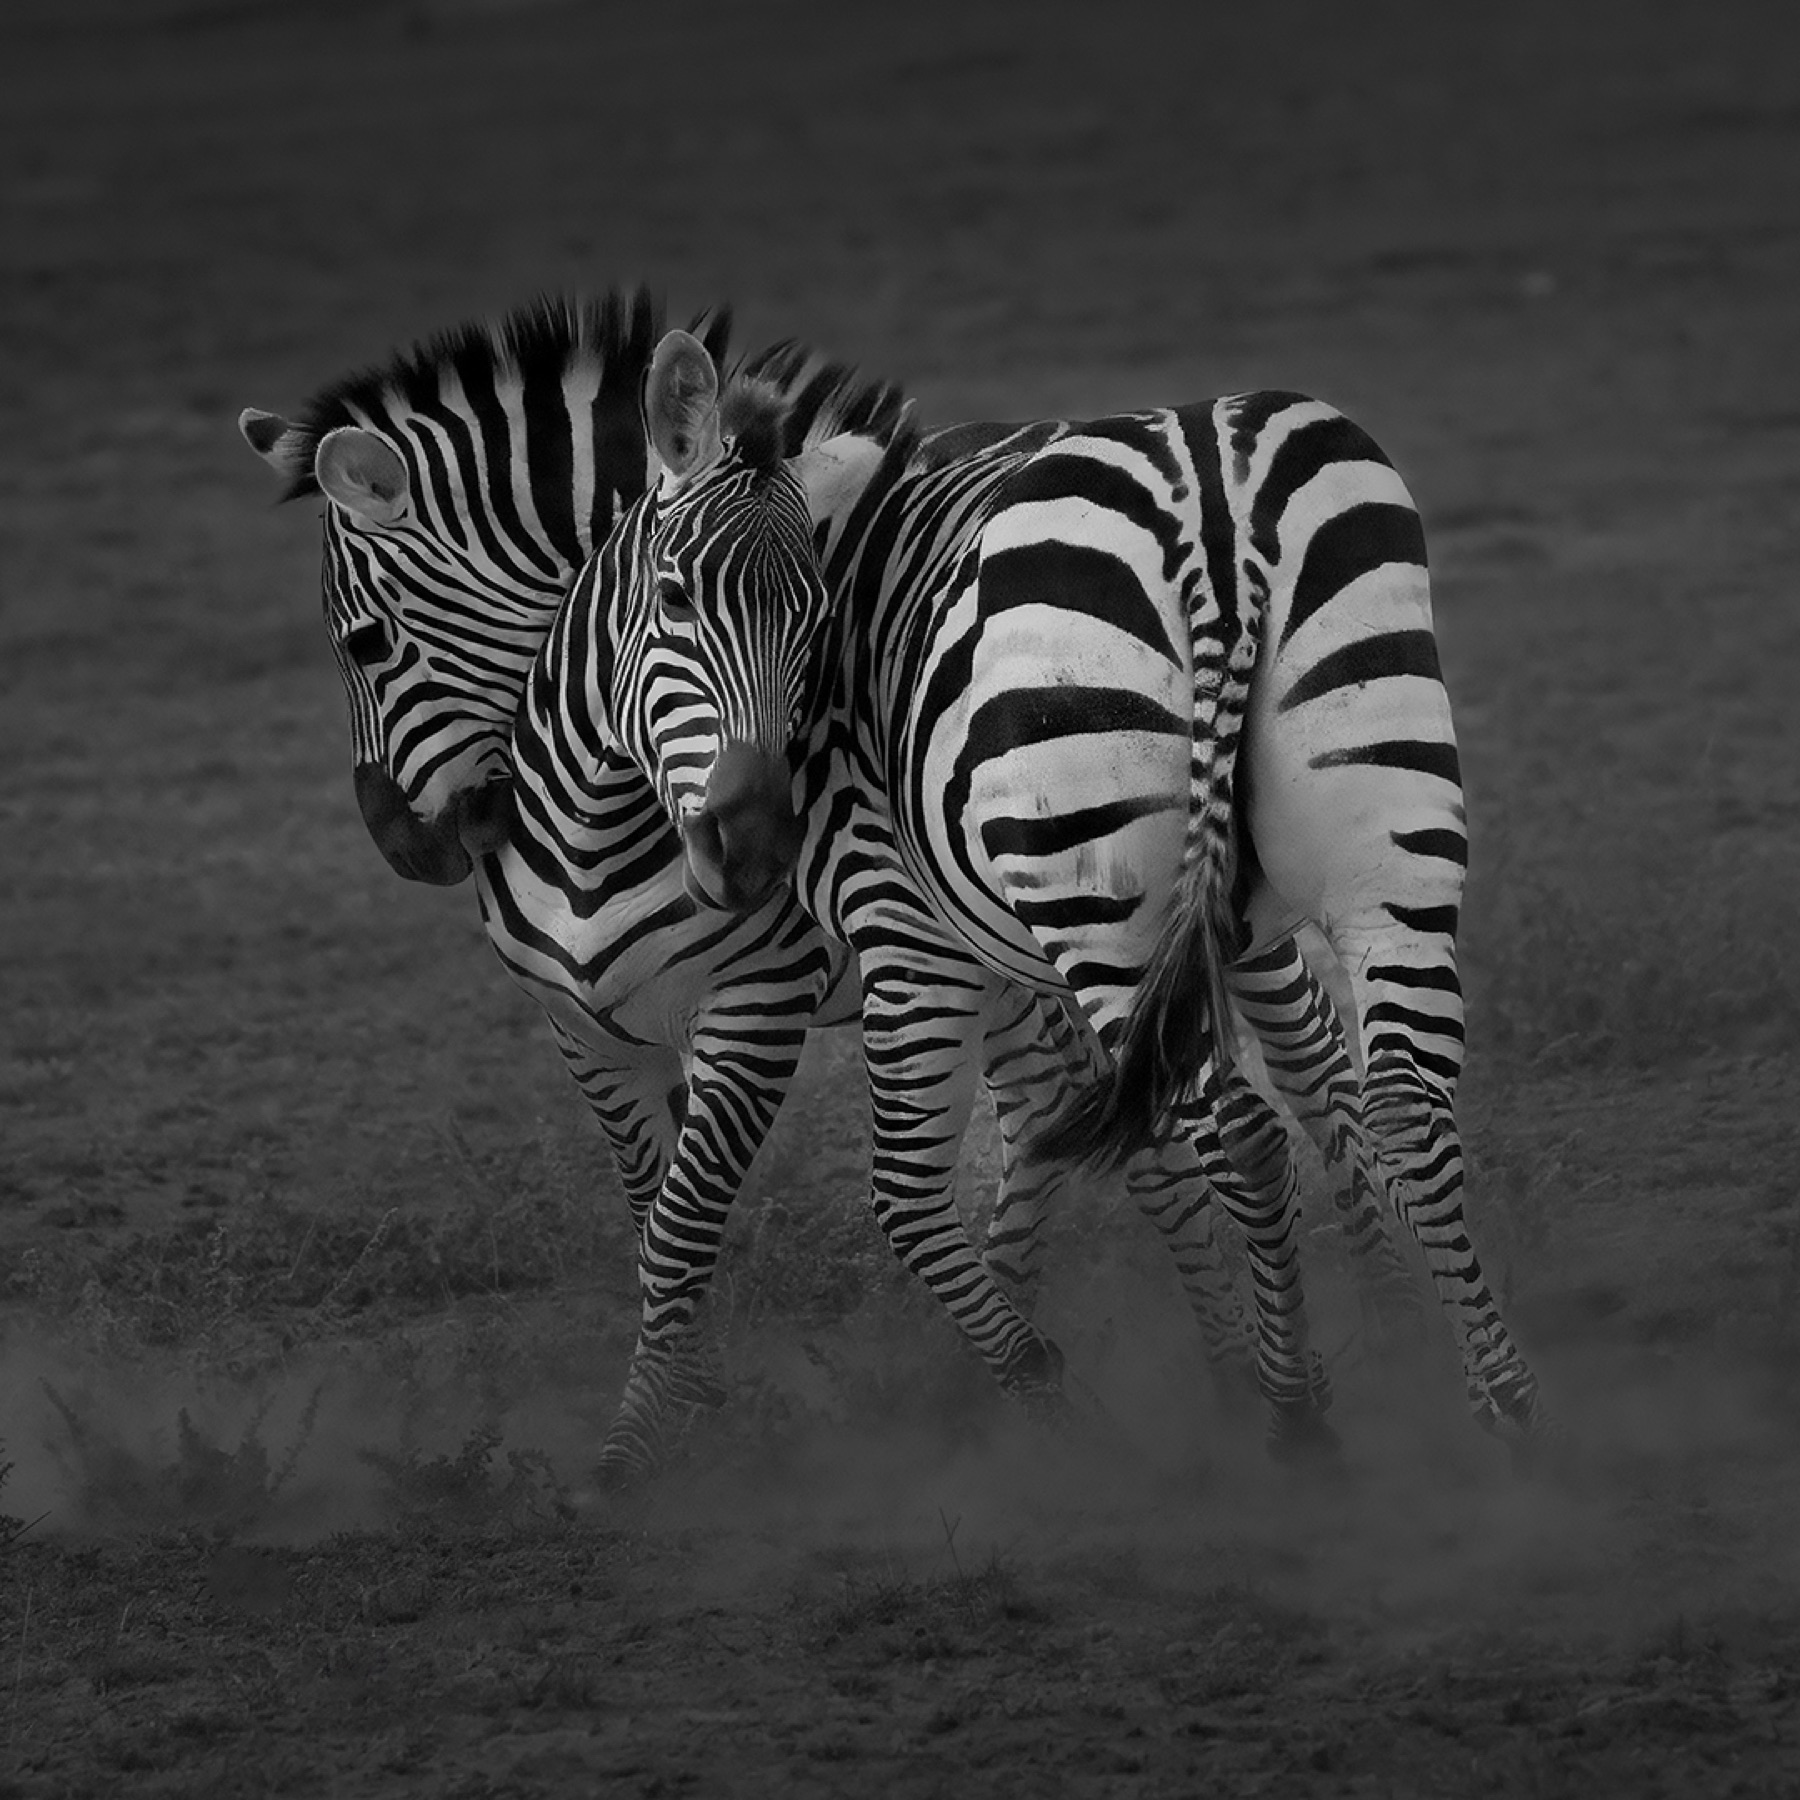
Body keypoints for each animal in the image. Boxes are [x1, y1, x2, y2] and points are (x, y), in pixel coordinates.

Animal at [237, 294, 1409, 1474]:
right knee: (1112, 1121)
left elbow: (686, 1217)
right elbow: (654, 1213)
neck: (594, 814)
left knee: (1302, 1072)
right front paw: (697, 1403)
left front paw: (644, 1445)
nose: (406, 846)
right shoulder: (585, 1026)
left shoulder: (763, 996)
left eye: (363, 642)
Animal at [578, 328, 1550, 1457]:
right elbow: (1278, 1090)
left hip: (1105, 900)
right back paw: (1501, 1405)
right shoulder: (1230, 924)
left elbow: (921, 1186)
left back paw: (1297, 1420)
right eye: (678, 601)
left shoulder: (905, 925)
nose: (745, 855)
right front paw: (1382, 1330)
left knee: (1240, 1131)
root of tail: (1209, 506)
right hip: (1383, 835)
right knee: (1405, 1100)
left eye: (810, 622)